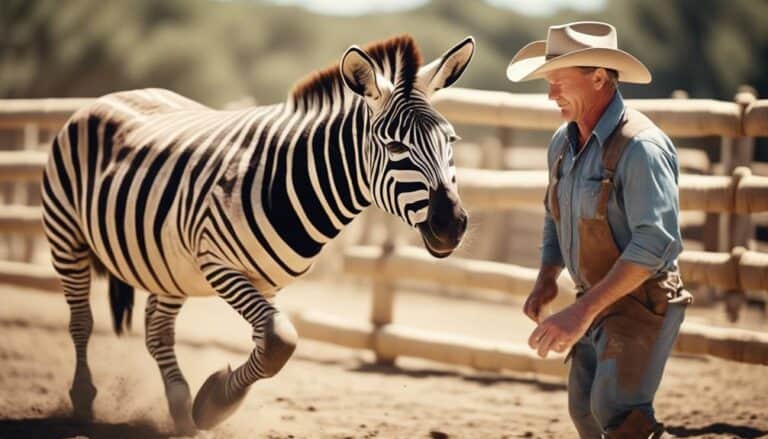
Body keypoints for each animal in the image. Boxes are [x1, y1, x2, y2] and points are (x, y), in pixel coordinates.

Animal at [43, 33, 474, 434]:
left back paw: (180, 409)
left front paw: (208, 403)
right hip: (67, 236)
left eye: (450, 140)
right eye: (395, 146)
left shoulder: (267, 282)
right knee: (81, 320)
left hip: (169, 265)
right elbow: (280, 341)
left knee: (157, 330)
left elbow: (268, 344)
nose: (451, 225)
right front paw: (214, 404)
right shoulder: (217, 262)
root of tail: (111, 96)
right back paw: (83, 400)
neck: (293, 182)